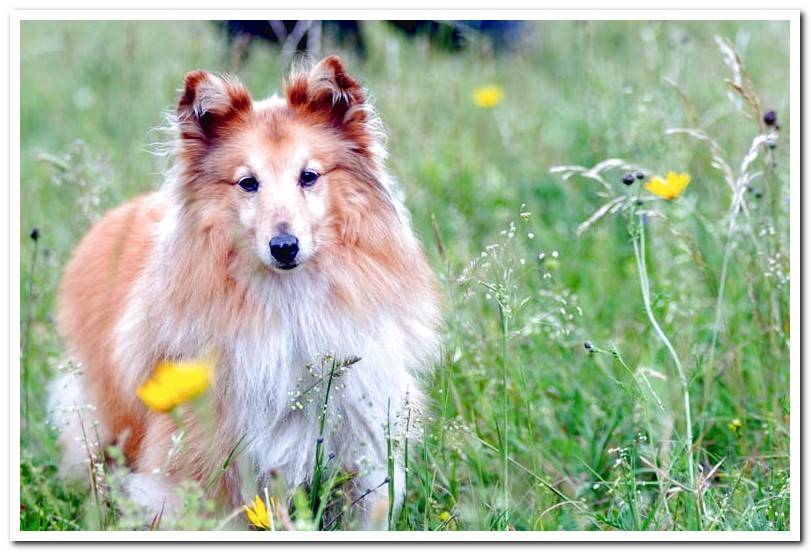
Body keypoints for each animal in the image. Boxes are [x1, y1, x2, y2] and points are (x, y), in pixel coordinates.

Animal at [49, 56, 444, 528]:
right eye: (247, 183)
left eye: (309, 176)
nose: (284, 246)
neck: (289, 304)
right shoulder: (206, 462)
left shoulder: (361, 451)